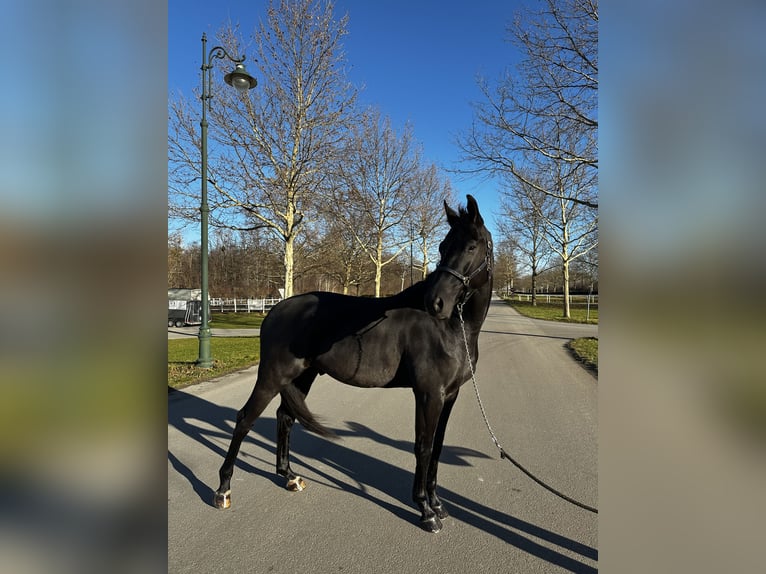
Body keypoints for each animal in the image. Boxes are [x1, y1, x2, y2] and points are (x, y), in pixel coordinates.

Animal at [213, 196, 496, 532]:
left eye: (471, 246)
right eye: (442, 246)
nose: (435, 302)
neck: (452, 328)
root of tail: (275, 311)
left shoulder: (449, 395)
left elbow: (437, 447)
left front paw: (438, 504)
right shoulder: (429, 394)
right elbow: (423, 446)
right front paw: (426, 510)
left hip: (302, 376)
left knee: (285, 417)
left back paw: (290, 477)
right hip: (272, 377)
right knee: (245, 419)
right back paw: (223, 490)